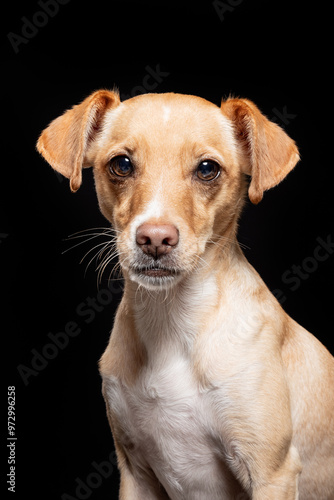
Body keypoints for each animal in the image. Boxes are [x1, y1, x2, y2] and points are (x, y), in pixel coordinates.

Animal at [37, 91, 334, 500]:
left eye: (207, 169)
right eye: (121, 165)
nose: (155, 238)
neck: (172, 322)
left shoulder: (272, 473)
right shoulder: (136, 475)